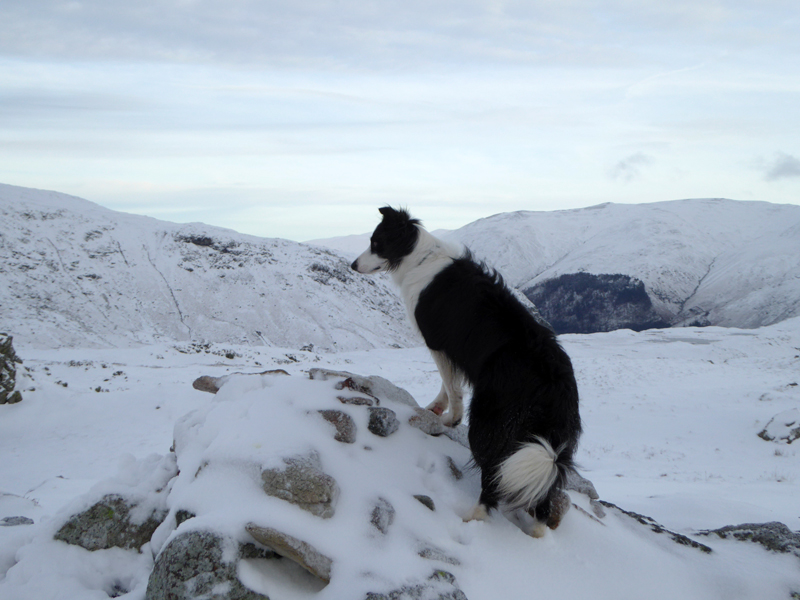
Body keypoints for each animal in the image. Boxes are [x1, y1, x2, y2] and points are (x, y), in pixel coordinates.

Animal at [352, 207, 580, 540]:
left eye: (375, 242)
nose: (352, 265)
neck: (420, 256)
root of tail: (553, 384)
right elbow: (446, 385)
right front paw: (436, 408)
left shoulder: (438, 344)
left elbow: (451, 385)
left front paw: (449, 418)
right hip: (544, 442)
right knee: (543, 498)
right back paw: (536, 533)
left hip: (490, 422)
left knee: (492, 477)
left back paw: (471, 517)